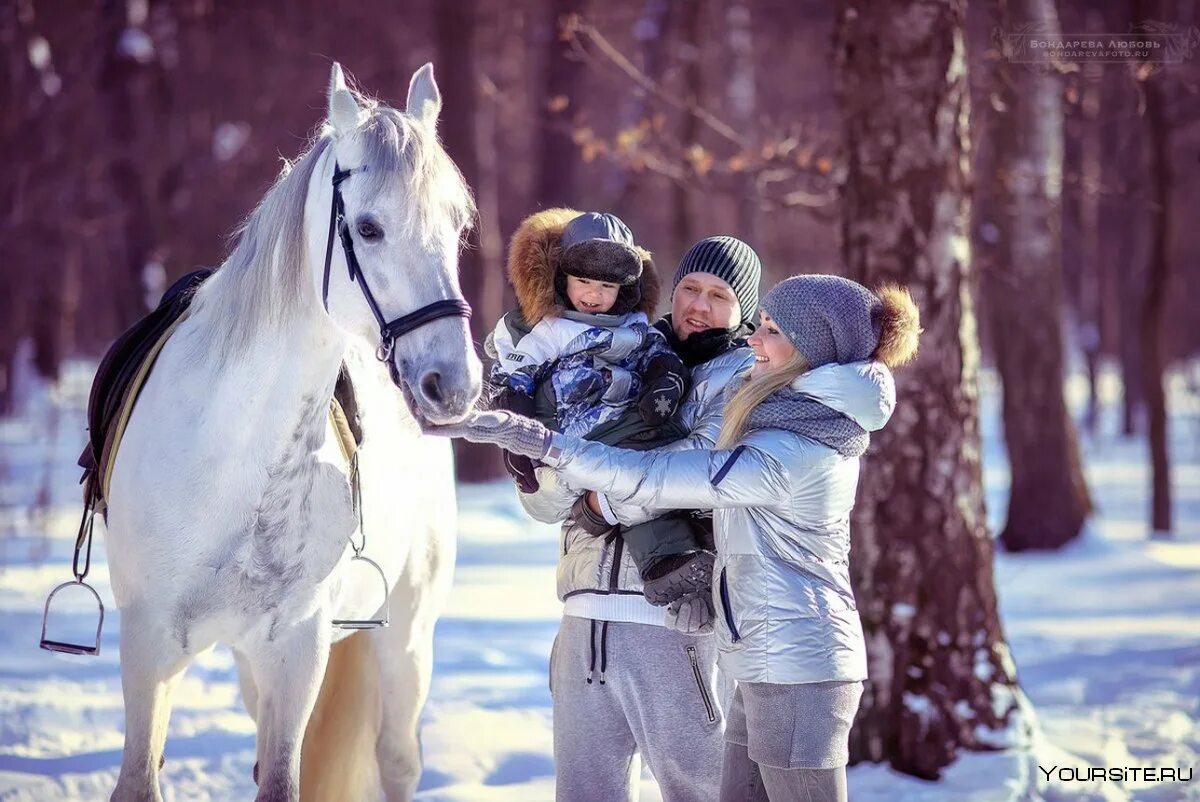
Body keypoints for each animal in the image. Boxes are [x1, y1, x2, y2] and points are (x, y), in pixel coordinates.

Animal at [102, 64, 477, 802]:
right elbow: (140, 779)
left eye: (457, 224)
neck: (232, 462)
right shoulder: (148, 648)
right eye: (368, 227)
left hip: (406, 636)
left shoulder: (296, 648)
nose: (455, 382)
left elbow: (281, 781)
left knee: (397, 759)